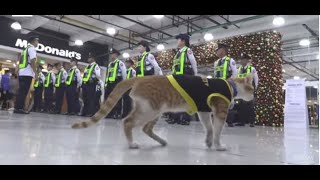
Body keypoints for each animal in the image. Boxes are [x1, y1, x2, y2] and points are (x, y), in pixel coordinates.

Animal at [71, 74, 254, 150]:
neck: (231, 85)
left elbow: (209, 128)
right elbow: (217, 131)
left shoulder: (202, 110)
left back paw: (161, 141)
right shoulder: (220, 112)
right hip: (150, 110)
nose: (254, 95)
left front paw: (208, 142)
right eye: (252, 88)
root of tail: (141, 77)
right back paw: (132, 144)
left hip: (155, 110)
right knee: (128, 122)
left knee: (146, 128)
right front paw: (218, 145)